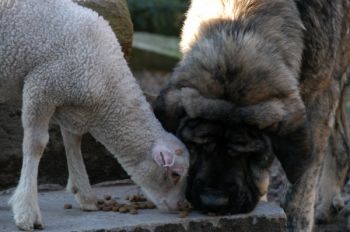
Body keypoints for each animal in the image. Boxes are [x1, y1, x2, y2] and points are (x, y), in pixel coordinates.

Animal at [0, 0, 190, 229]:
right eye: (175, 174)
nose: (180, 205)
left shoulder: (70, 104)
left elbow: (73, 142)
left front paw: (84, 194)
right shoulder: (42, 85)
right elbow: (35, 145)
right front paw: (26, 212)